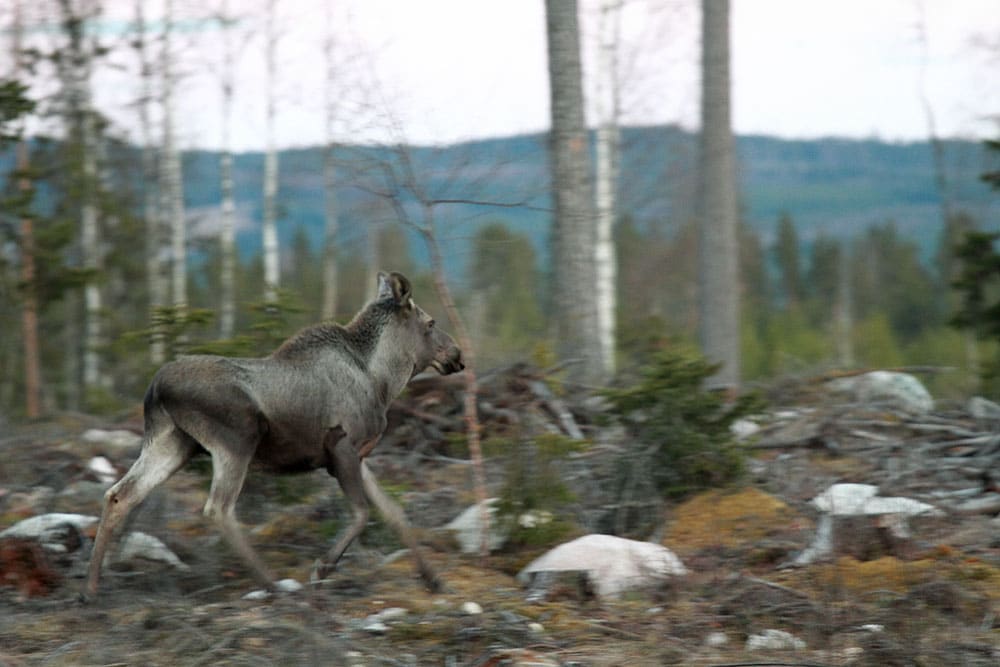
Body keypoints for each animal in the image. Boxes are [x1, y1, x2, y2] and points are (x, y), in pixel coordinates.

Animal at [83, 274, 464, 596]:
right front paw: (322, 568)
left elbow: (394, 513)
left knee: (120, 495)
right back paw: (273, 585)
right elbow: (362, 514)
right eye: (430, 323)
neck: (382, 382)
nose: (457, 355)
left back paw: (93, 588)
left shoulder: (357, 455)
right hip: (236, 441)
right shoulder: (341, 446)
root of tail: (155, 389)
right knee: (218, 509)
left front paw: (433, 579)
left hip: (174, 444)